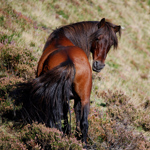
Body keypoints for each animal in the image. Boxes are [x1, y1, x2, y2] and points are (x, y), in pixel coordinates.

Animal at [27, 17, 120, 146]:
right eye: (97, 38)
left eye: (110, 43)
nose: (99, 65)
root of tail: (69, 61)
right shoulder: (77, 98)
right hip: (85, 98)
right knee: (84, 123)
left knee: (60, 117)